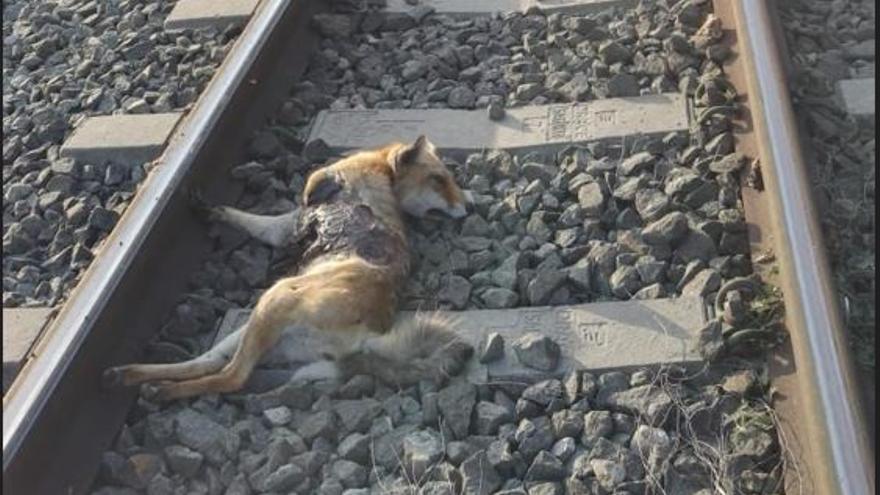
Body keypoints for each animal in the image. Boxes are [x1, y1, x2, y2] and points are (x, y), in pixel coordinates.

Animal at [103, 138, 474, 402]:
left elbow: (271, 206)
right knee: (207, 363)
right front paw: (210, 210)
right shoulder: (286, 225)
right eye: (439, 179)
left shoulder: (300, 206)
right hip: (256, 325)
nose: (469, 206)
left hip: (274, 300)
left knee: (231, 377)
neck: (382, 174)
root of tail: (370, 336)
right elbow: (243, 217)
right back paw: (133, 375)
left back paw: (160, 389)